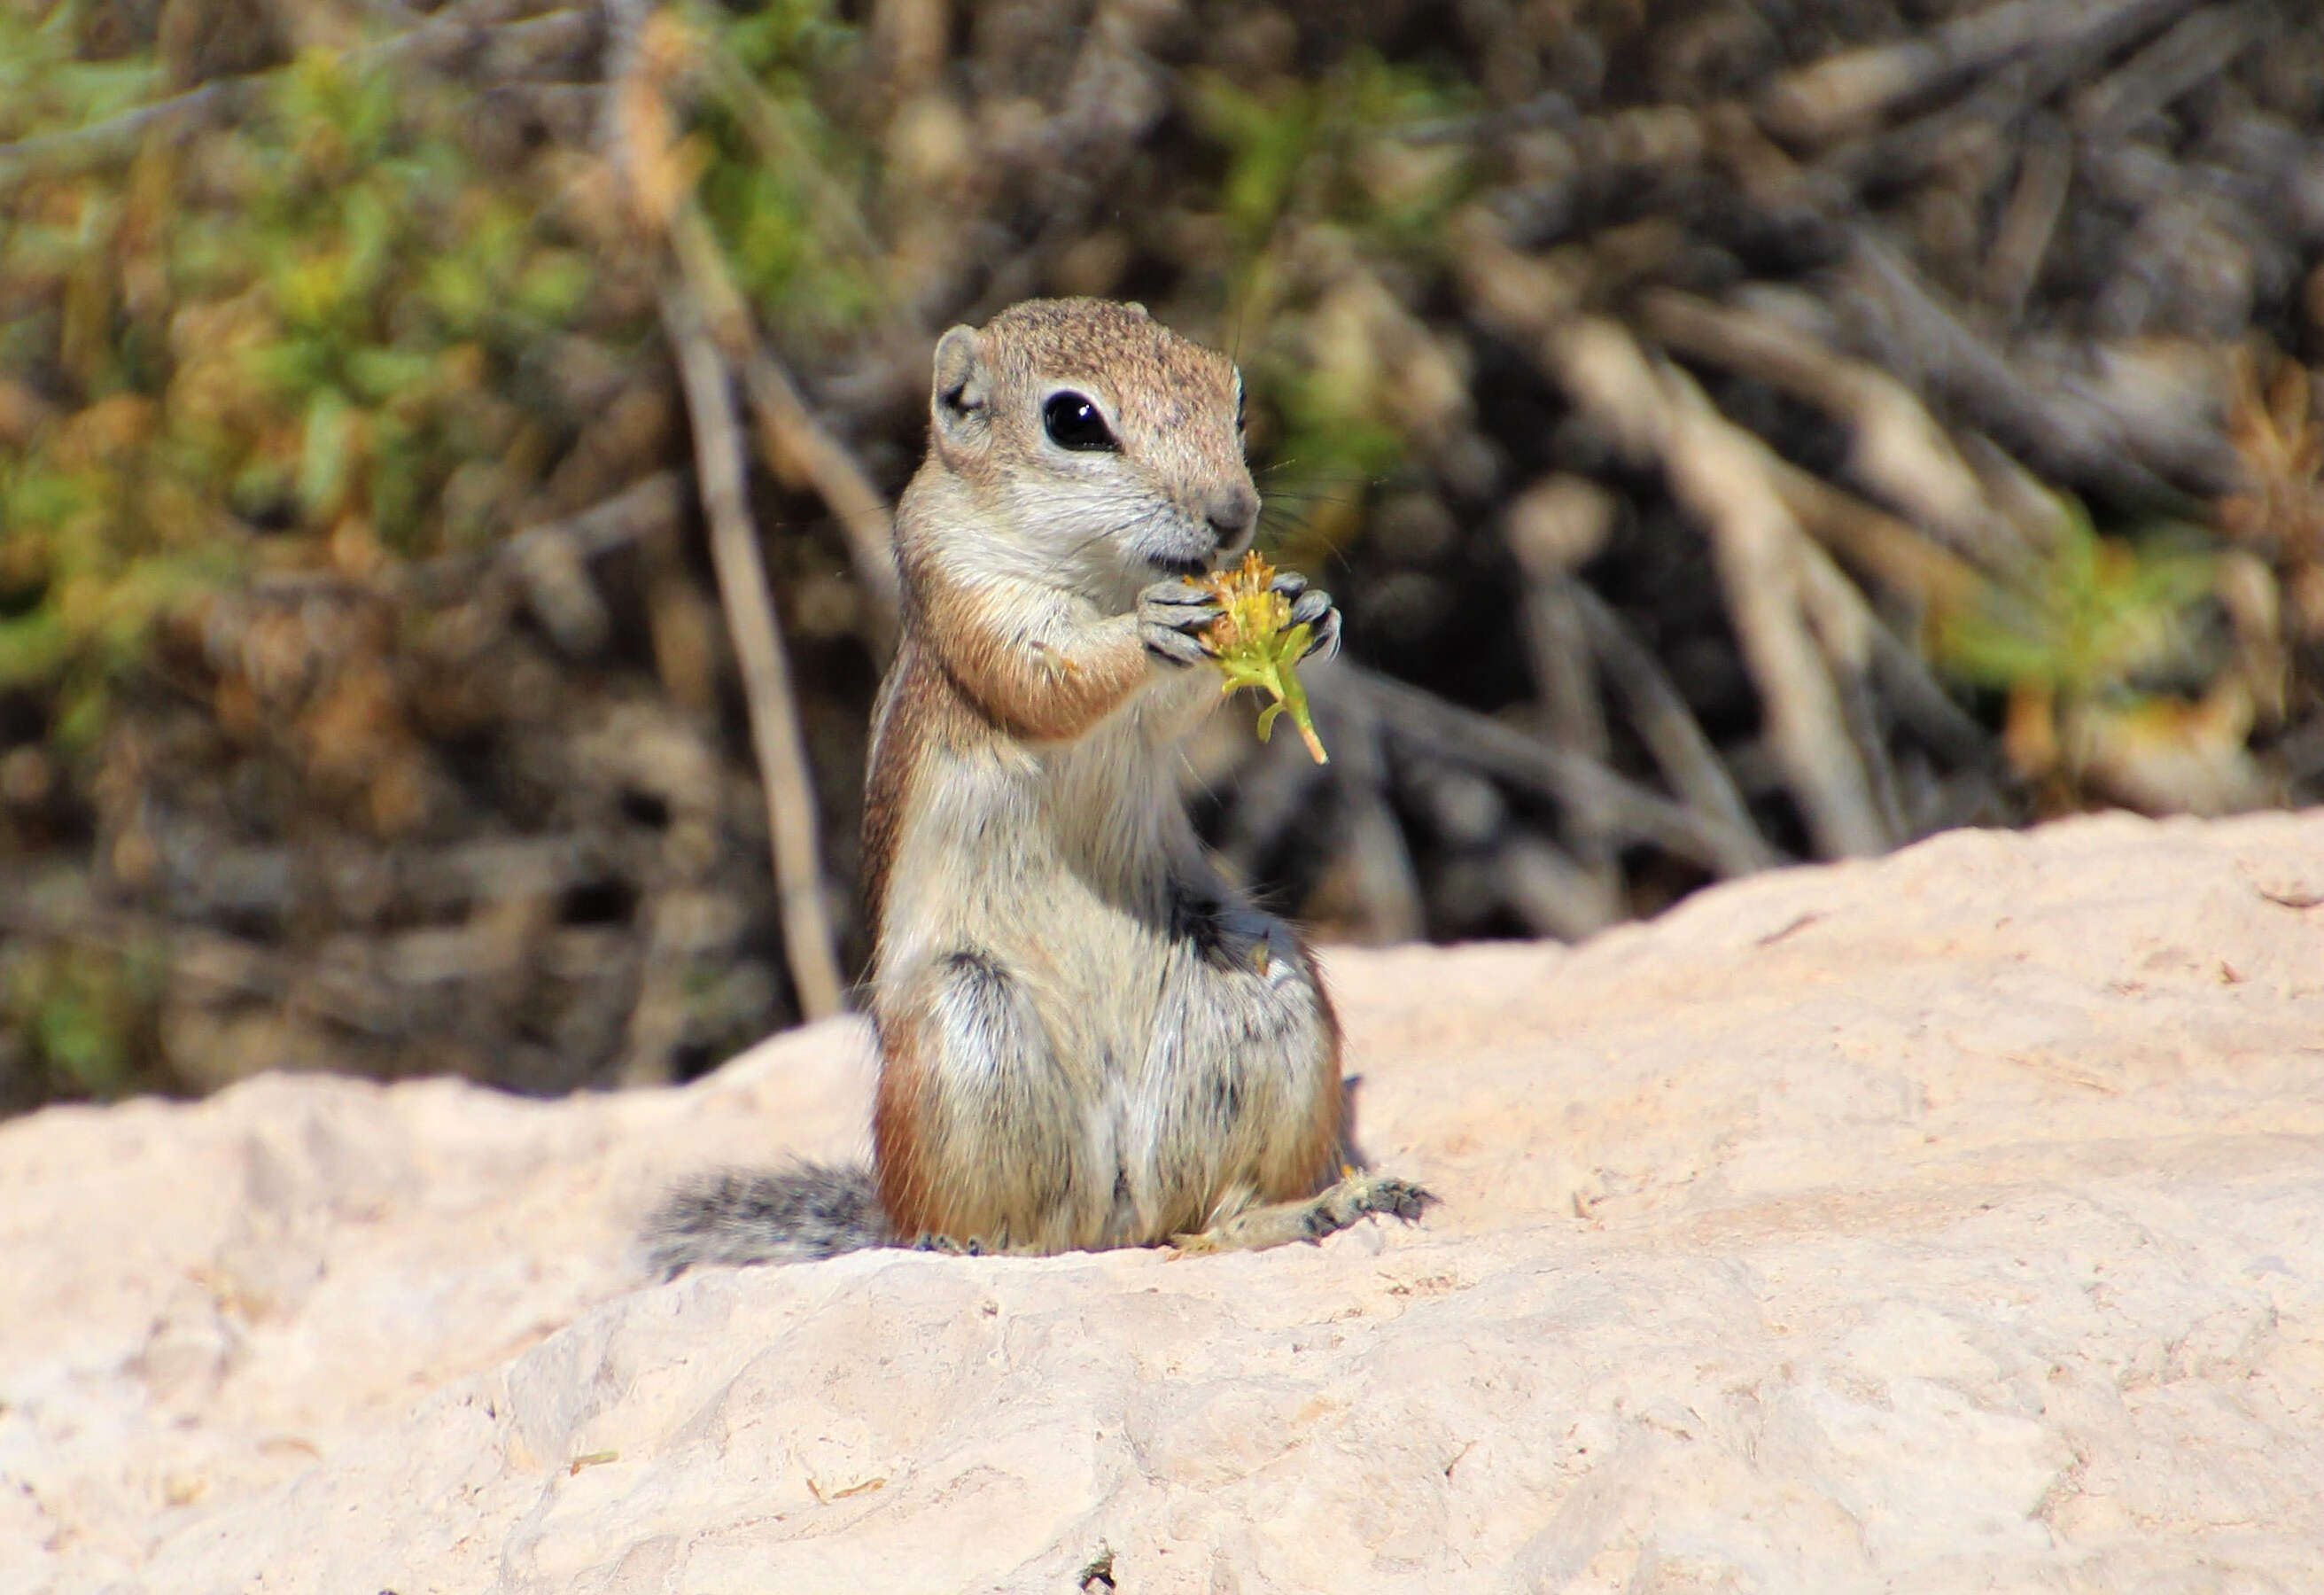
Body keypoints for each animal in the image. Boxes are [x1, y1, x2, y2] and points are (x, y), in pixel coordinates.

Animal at [646, 296, 1422, 1273]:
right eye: (1073, 420)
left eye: (1234, 396)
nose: (1234, 514)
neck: (1105, 577)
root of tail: (1114, 1222)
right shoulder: (966, 597)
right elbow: (1044, 681)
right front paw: (1152, 629)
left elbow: (1179, 705)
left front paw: (1305, 608)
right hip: (965, 1025)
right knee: (1011, 1229)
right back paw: (961, 1244)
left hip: (1260, 984)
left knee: (1206, 1217)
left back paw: (1317, 1207)